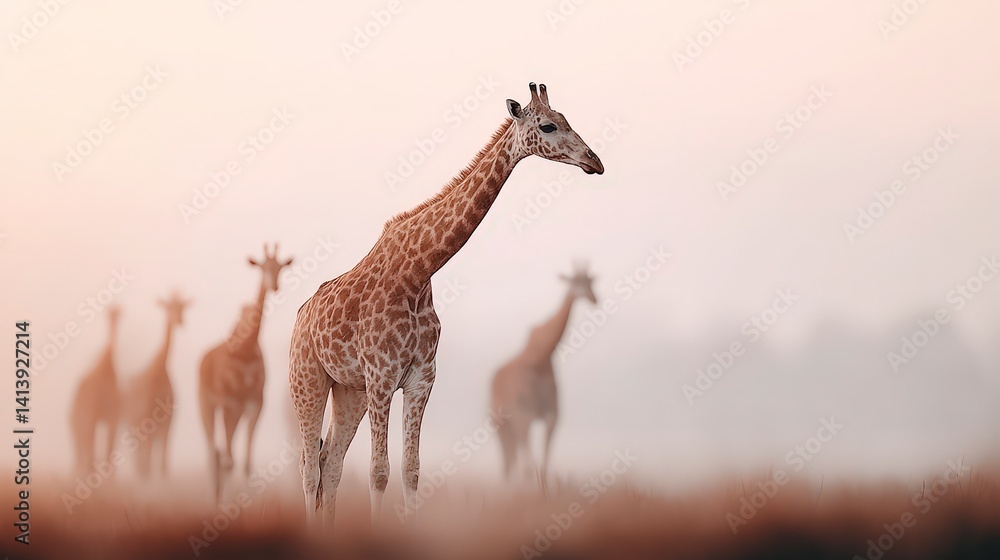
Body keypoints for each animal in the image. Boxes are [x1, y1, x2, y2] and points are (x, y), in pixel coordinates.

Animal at [69, 306, 123, 474]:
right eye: (112, 312)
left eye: (118, 312)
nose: (116, 316)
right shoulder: (98, 415)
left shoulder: (112, 416)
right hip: (79, 422)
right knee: (83, 448)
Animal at [124, 292, 190, 478]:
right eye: (168, 307)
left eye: (182, 307)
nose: (179, 321)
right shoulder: (147, 418)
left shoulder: (168, 420)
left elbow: (164, 454)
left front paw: (163, 476)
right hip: (132, 422)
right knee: (138, 452)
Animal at [199, 244, 292, 504]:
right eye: (262, 266)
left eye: (280, 267)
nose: (274, 286)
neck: (246, 349)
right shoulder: (228, 402)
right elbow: (229, 460)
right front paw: (229, 505)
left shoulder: (255, 402)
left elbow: (246, 462)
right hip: (207, 405)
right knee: (213, 453)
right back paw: (212, 501)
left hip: (235, 411)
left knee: (223, 452)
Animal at [490, 263, 597, 486]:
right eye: (575, 281)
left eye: (591, 282)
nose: (594, 299)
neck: (540, 361)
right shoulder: (524, 416)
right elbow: (529, 467)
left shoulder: (551, 417)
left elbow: (544, 464)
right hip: (499, 423)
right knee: (510, 462)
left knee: (513, 461)